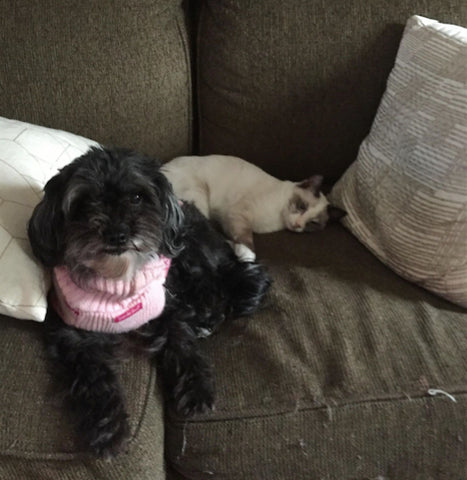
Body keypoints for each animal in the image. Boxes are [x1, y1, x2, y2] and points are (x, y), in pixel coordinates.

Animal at [28, 147, 270, 458]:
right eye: (84, 201)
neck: (116, 280)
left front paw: (197, 389)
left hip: (189, 252)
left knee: (223, 284)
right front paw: (107, 427)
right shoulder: (73, 335)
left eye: (137, 197)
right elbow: (92, 378)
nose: (117, 233)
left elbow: (182, 344)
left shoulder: (166, 307)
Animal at [163, 155, 346, 260]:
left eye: (313, 223)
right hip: (199, 196)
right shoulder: (238, 215)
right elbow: (248, 241)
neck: (277, 220)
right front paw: (246, 256)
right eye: (302, 207)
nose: (298, 225)